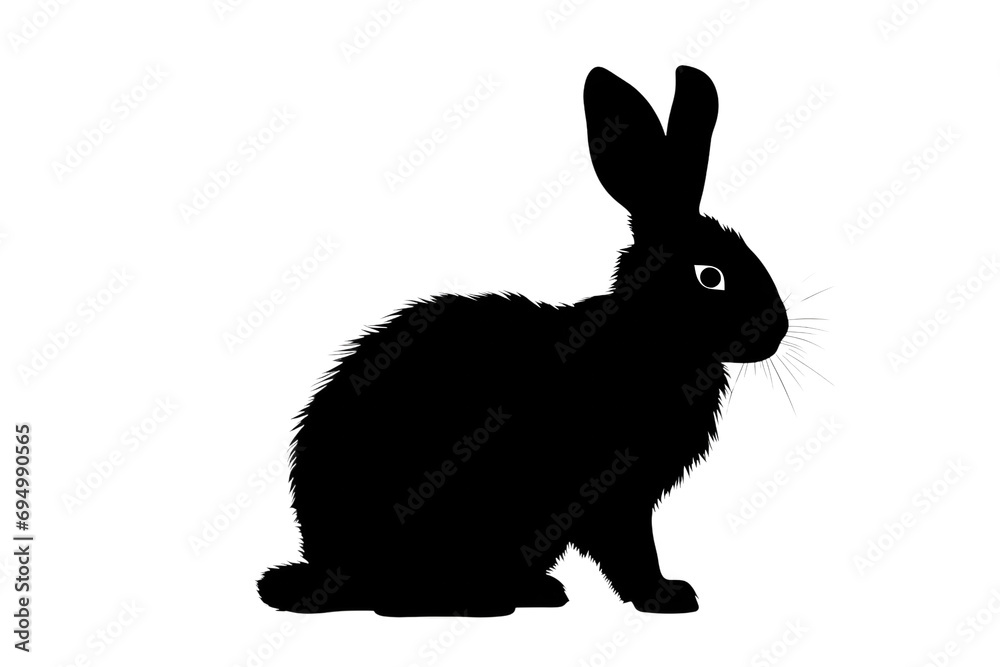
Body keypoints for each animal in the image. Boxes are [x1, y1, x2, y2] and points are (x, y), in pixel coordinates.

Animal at [258, 65, 788, 617]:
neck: (648, 338)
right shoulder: (611, 492)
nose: (777, 331)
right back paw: (481, 600)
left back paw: (536, 591)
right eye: (710, 277)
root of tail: (327, 567)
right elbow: (629, 548)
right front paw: (666, 597)